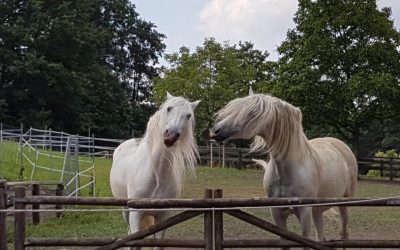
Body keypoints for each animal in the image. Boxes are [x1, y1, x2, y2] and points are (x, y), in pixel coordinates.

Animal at [110, 92, 200, 242]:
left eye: (188, 115)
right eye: (169, 108)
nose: (170, 137)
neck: (157, 174)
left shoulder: (163, 216)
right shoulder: (135, 214)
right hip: (126, 212)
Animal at [211, 89, 358, 244]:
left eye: (252, 113)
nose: (216, 131)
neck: (286, 173)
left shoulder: (305, 213)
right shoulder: (277, 213)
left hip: (344, 204)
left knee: (344, 233)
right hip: (317, 210)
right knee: (320, 236)